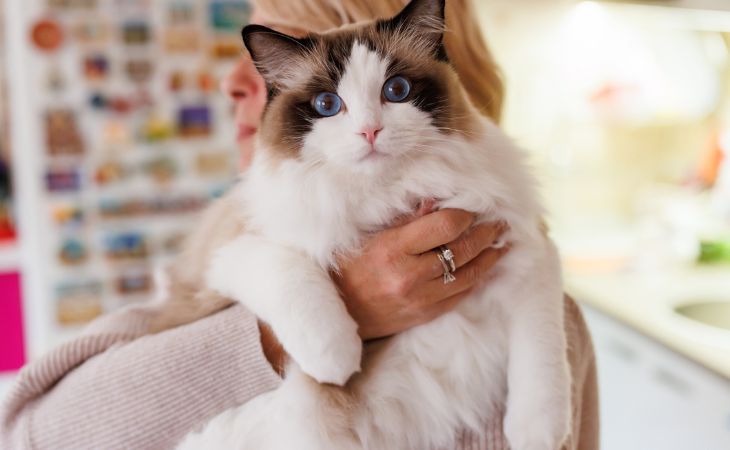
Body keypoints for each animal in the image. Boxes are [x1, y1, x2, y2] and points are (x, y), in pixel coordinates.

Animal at [175, 1, 568, 448]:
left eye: (396, 91)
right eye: (327, 104)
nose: (370, 131)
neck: (388, 196)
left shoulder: (526, 252)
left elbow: (540, 365)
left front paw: (538, 435)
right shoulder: (232, 252)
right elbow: (294, 278)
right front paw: (337, 357)